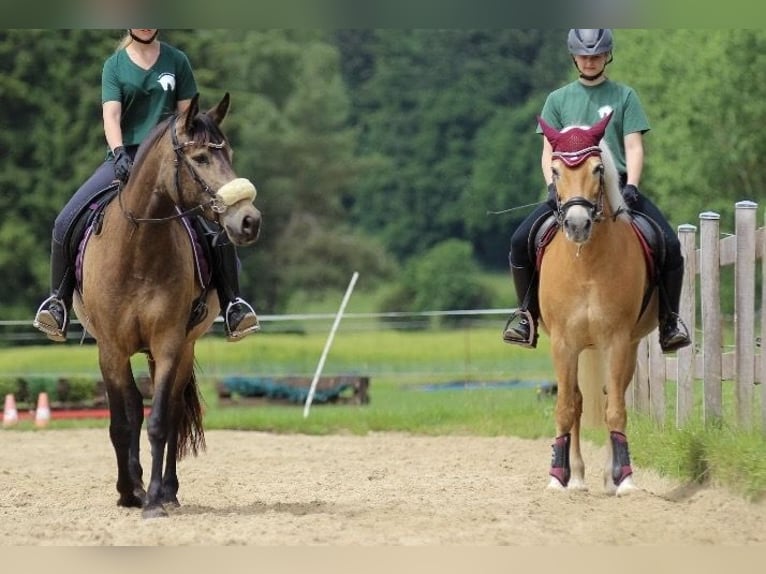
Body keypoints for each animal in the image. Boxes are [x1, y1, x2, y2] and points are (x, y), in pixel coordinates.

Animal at [72, 92, 262, 518]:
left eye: (230, 154)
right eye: (202, 158)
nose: (249, 220)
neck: (137, 250)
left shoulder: (170, 343)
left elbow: (159, 420)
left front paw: (155, 499)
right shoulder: (111, 349)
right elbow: (122, 421)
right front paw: (129, 491)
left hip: (181, 348)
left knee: (172, 412)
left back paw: (168, 491)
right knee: (132, 412)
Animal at [536, 112, 658, 496]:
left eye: (598, 169)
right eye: (556, 170)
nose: (577, 224)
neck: (586, 263)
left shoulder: (618, 340)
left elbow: (615, 408)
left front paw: (625, 479)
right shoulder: (562, 343)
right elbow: (565, 408)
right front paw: (557, 478)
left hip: (628, 346)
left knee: (608, 397)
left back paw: (608, 474)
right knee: (576, 401)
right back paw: (575, 476)